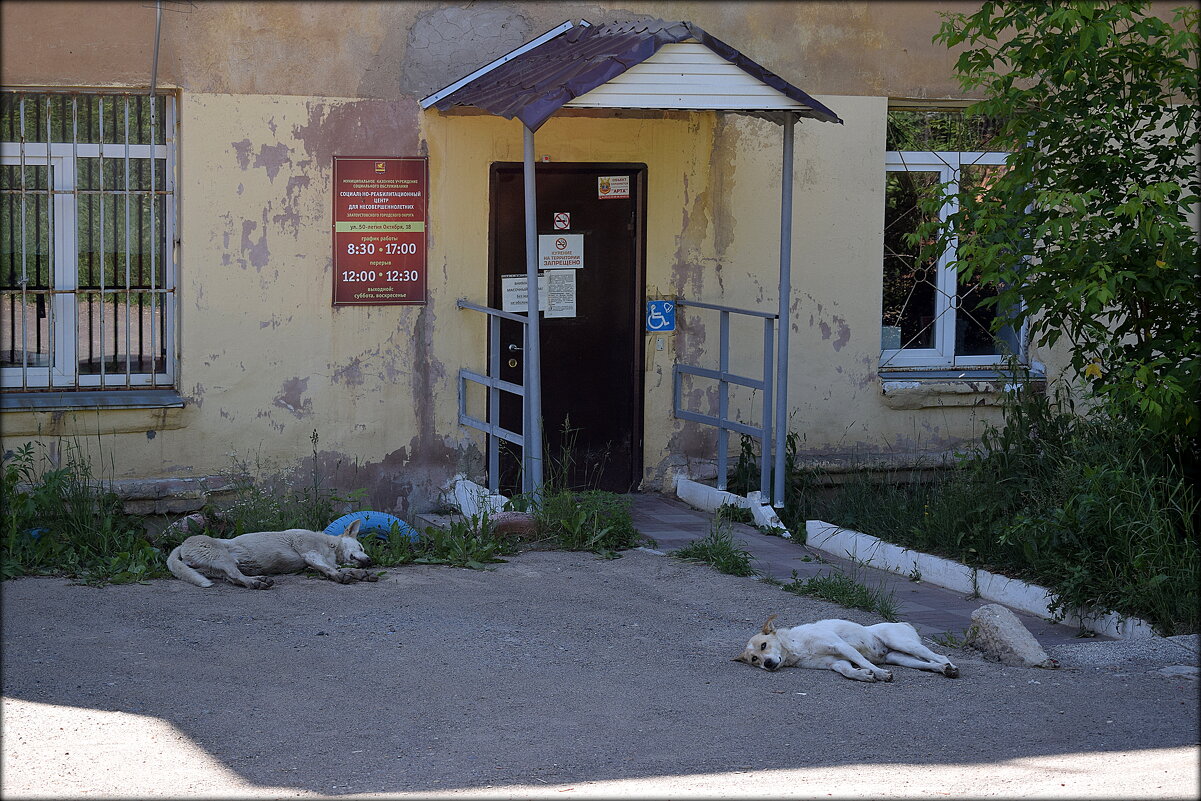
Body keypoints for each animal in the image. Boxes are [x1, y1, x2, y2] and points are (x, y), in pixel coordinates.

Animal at [165, 521, 374, 588]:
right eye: (361, 547)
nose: (370, 561)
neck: (329, 545)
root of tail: (182, 545)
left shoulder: (313, 562)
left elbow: (336, 568)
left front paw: (359, 573)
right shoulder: (310, 554)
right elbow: (329, 568)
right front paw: (341, 576)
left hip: (217, 567)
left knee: (233, 578)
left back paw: (259, 579)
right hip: (222, 556)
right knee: (235, 575)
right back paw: (255, 583)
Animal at [730, 614, 955, 682]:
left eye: (764, 645)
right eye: (754, 659)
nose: (767, 664)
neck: (796, 647)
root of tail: (904, 623)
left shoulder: (841, 646)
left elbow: (863, 662)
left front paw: (879, 673)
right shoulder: (836, 662)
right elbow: (848, 671)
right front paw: (863, 675)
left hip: (901, 643)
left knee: (939, 656)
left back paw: (949, 666)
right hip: (900, 657)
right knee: (928, 664)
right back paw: (943, 669)